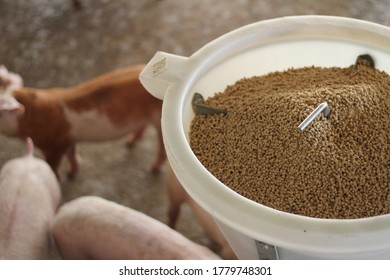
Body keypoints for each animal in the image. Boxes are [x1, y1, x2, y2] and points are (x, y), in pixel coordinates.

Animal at [0, 64, 166, 177]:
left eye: (1, 111)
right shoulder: (68, 139)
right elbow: (72, 154)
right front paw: (71, 172)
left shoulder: (54, 146)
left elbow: (54, 166)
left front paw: (61, 176)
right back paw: (129, 143)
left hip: (159, 122)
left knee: (162, 148)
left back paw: (154, 168)